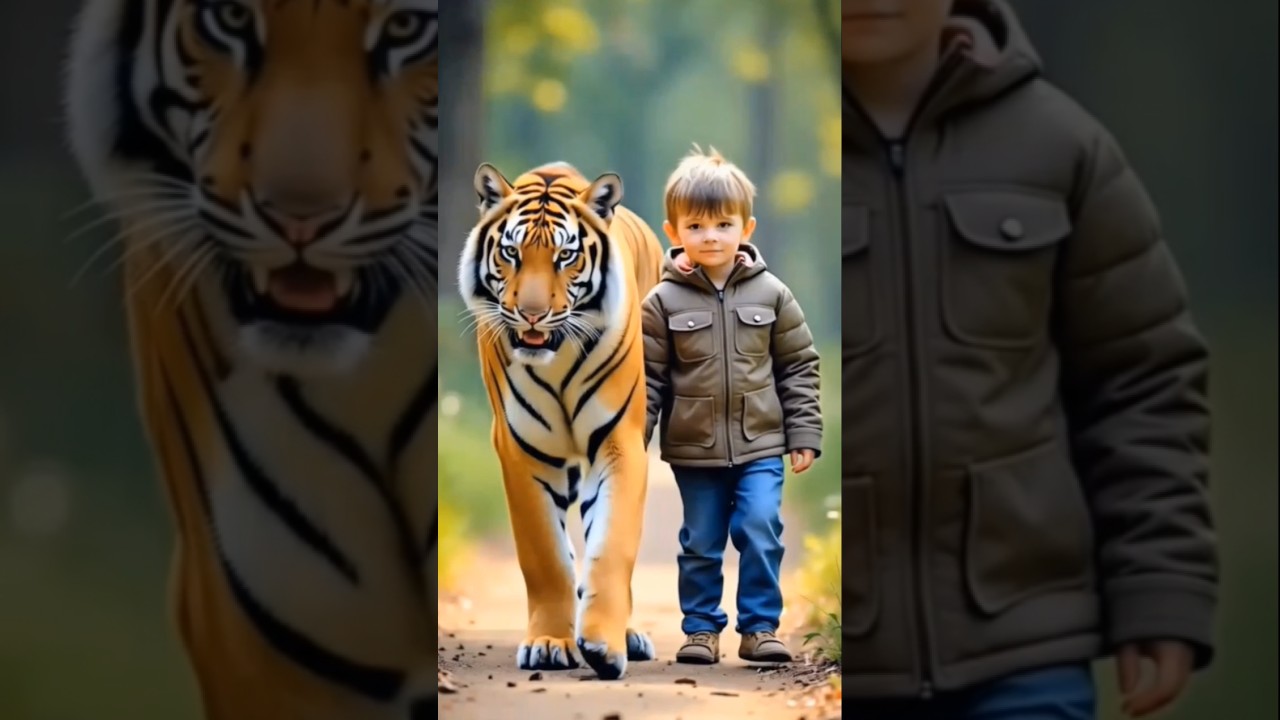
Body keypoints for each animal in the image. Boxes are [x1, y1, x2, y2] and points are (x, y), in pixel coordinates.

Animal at [457, 161, 664, 681]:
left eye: (565, 256)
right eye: (511, 252)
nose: (532, 314)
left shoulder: (619, 440)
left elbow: (612, 546)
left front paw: (605, 645)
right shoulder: (521, 448)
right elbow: (546, 556)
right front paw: (551, 643)